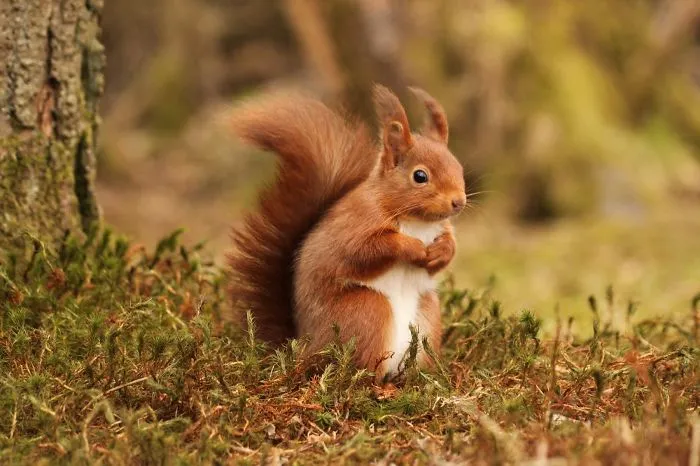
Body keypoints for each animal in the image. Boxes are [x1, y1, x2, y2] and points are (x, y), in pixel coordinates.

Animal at [228, 84, 466, 381]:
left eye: (459, 167)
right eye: (420, 176)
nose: (459, 202)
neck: (417, 221)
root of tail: (305, 347)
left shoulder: (441, 227)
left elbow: (449, 245)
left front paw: (440, 251)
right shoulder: (355, 225)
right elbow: (365, 250)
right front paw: (413, 247)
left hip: (427, 317)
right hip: (367, 311)